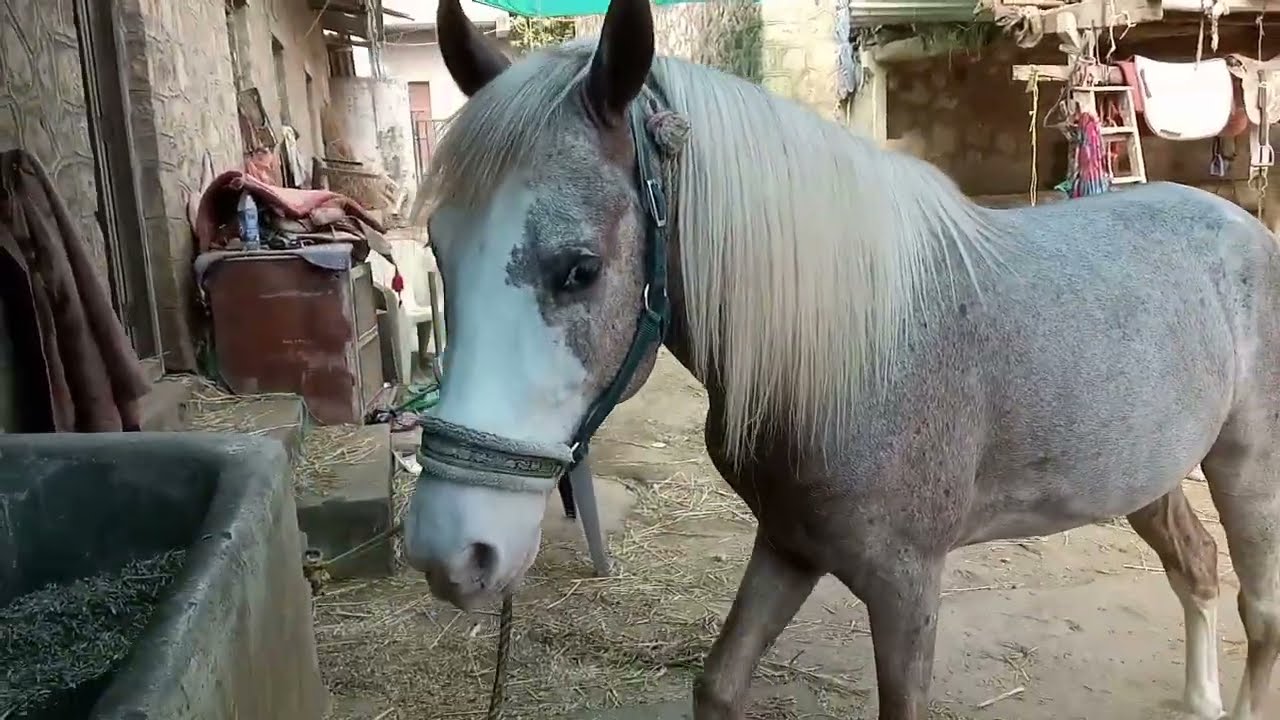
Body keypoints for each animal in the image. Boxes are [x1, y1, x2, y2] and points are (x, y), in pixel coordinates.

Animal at [402, 1, 1280, 718]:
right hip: (1148, 475)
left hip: (1245, 467)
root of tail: (1242, 227)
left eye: (579, 269)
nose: (452, 552)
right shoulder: (788, 543)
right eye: (439, 249)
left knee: (1259, 611)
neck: (856, 354)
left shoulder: (906, 583)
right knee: (1198, 567)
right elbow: (719, 684)